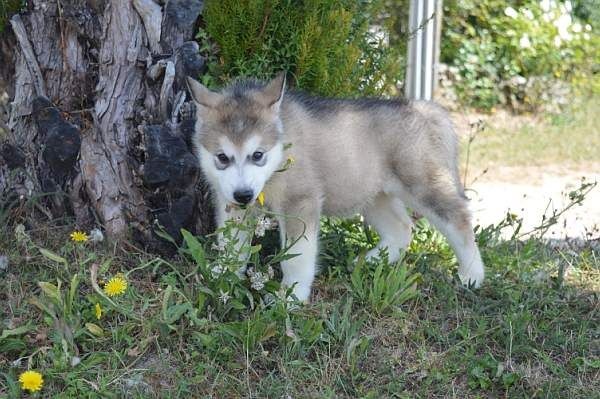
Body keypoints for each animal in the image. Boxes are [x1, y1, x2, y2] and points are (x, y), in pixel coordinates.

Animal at [188, 73, 482, 302]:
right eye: (222, 157)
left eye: (257, 155)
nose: (244, 195)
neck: (280, 158)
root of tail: (424, 109)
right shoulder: (231, 204)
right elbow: (232, 243)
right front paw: (224, 273)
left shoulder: (300, 202)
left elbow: (296, 257)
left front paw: (291, 296)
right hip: (371, 193)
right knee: (402, 228)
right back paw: (371, 260)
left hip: (422, 185)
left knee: (459, 219)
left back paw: (472, 276)